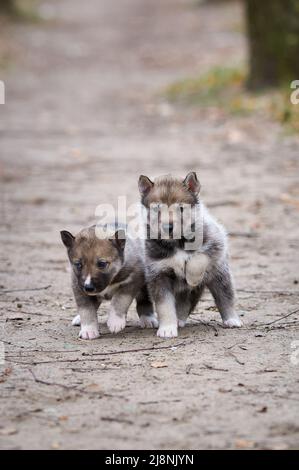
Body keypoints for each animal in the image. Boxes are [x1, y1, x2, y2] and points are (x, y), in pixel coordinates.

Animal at [138, 173, 244, 338]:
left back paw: (232, 319)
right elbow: (164, 306)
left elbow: (198, 258)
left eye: (181, 208)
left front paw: (193, 278)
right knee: (184, 302)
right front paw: (167, 328)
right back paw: (178, 320)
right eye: (157, 209)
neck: (176, 243)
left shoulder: (215, 241)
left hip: (220, 276)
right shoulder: (158, 274)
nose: (168, 227)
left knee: (225, 298)